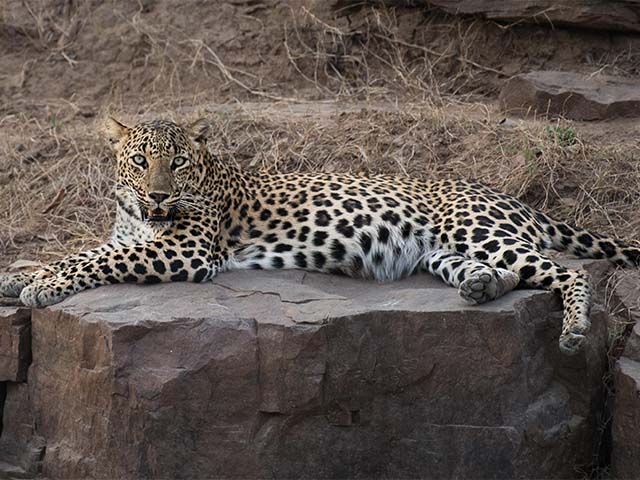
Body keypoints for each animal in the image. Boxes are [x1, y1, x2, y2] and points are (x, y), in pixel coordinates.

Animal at [2, 118, 639, 356]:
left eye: (177, 163)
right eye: (139, 161)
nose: (158, 196)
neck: (140, 211)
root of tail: (512, 195)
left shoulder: (184, 250)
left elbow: (94, 260)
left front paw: (44, 284)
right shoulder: (140, 235)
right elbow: (89, 249)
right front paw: (20, 274)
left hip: (477, 227)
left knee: (566, 272)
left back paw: (574, 329)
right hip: (441, 252)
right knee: (499, 274)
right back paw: (479, 289)